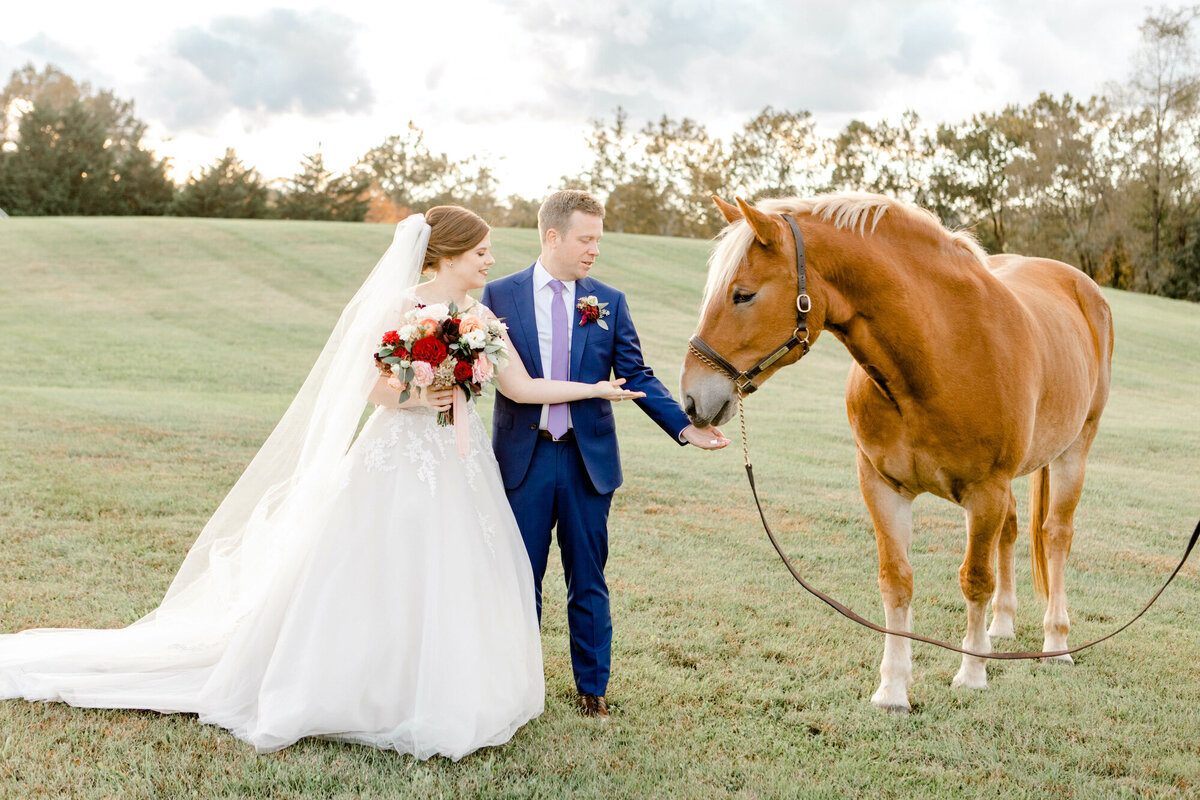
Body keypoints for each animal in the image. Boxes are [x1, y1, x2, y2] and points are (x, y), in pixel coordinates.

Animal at [681, 194, 1108, 714]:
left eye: (742, 295)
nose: (692, 399)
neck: (941, 352)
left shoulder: (985, 491)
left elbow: (975, 579)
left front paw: (971, 674)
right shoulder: (882, 486)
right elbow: (896, 580)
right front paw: (893, 689)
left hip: (1074, 450)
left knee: (1056, 536)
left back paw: (1055, 643)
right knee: (1010, 531)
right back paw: (1001, 626)